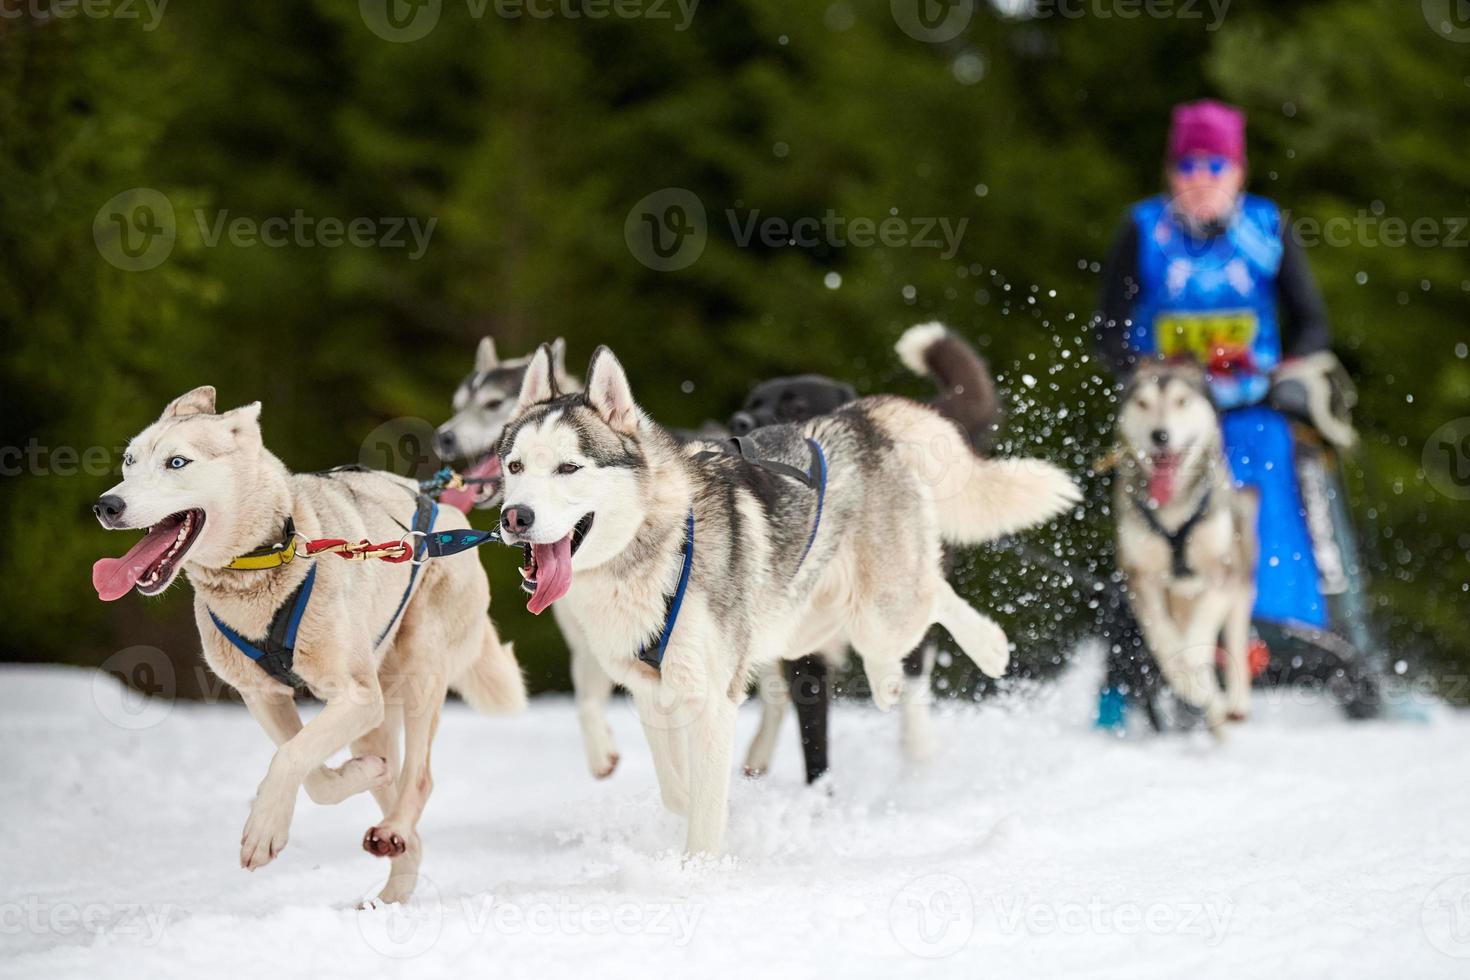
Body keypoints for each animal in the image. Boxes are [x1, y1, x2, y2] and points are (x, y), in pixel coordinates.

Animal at [93, 387, 529, 905]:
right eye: (129, 461)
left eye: (177, 462)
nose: (106, 505)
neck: (265, 559)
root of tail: (443, 511)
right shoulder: (264, 696)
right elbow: (312, 771)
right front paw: (359, 774)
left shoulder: (356, 696)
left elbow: (290, 757)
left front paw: (263, 831)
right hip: (374, 715)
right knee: (396, 785)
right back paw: (391, 879)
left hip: (419, 666)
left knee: (419, 778)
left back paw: (395, 829)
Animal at [1111, 358, 1264, 728]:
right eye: (1143, 403)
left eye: (1182, 401)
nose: (1160, 436)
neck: (1173, 513)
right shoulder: (1140, 579)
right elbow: (1163, 637)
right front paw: (1188, 680)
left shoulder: (1222, 574)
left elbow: (1201, 633)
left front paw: (1195, 670)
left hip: (1242, 582)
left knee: (1233, 635)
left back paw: (1233, 700)